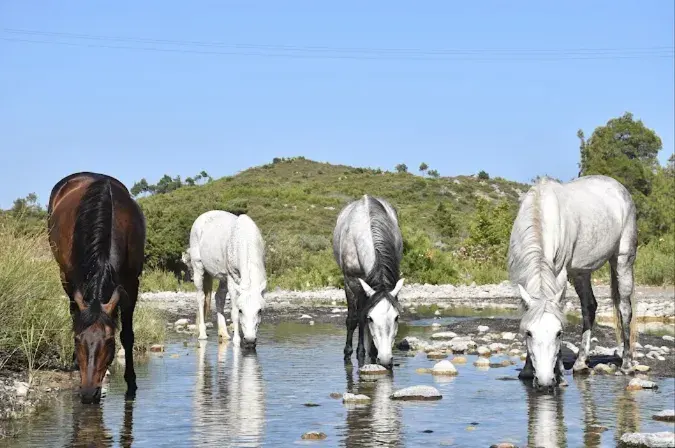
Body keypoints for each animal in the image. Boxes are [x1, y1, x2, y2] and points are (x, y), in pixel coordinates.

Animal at [47, 172, 146, 404]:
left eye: (109, 341)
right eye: (77, 340)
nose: (88, 393)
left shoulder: (132, 284)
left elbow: (128, 335)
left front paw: (131, 382)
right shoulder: (74, 279)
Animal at [187, 210, 266, 349]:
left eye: (259, 311)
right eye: (241, 310)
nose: (250, 341)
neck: (244, 240)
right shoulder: (232, 280)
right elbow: (233, 313)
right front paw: (237, 341)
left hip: (223, 277)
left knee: (219, 297)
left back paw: (224, 334)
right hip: (198, 268)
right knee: (201, 298)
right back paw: (202, 334)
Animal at [332, 195, 405, 369]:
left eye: (396, 318)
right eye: (371, 318)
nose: (385, 359)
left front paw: (370, 352)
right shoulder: (351, 282)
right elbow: (355, 318)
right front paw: (351, 352)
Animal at [507, 174, 637, 390]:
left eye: (559, 333)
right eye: (529, 333)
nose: (545, 381)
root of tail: (619, 188)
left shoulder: (559, 274)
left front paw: (559, 375)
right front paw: (526, 370)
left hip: (623, 259)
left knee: (625, 310)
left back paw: (627, 364)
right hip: (580, 272)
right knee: (589, 307)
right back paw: (580, 363)